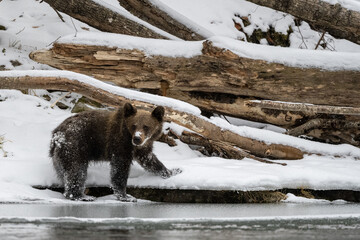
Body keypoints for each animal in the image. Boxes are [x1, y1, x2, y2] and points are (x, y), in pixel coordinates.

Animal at [49, 102, 181, 202]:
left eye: (146, 126)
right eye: (134, 125)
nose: (137, 138)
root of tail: (56, 133)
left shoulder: (142, 147)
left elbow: (149, 159)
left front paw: (172, 171)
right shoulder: (119, 144)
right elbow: (119, 170)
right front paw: (126, 196)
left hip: (60, 154)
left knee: (64, 171)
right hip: (75, 145)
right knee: (76, 170)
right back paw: (81, 196)